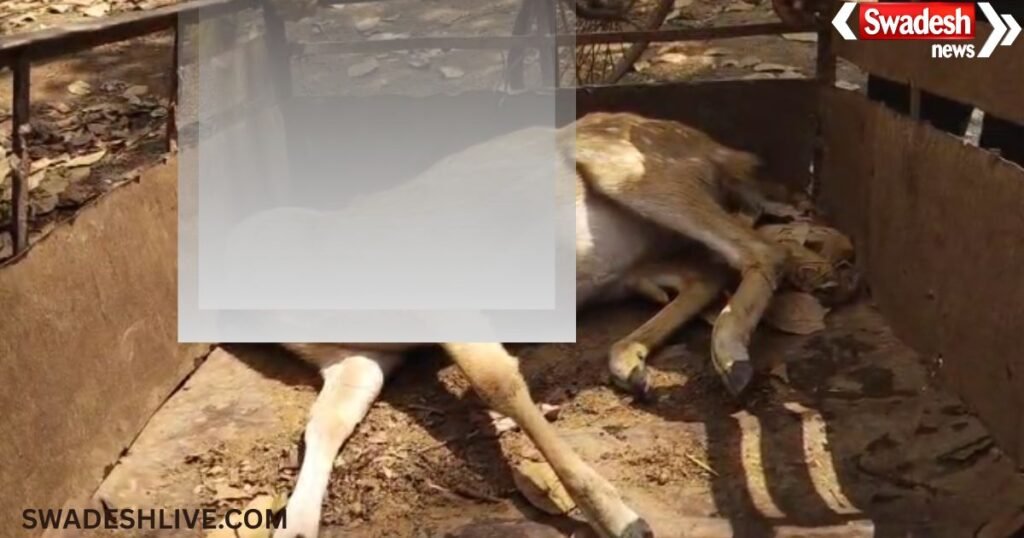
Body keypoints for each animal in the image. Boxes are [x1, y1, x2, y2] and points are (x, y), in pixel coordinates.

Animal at [250, 111, 790, 538]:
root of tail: (720, 151)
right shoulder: (357, 357)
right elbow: (324, 423)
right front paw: (296, 527)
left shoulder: (444, 291)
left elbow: (498, 383)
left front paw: (622, 518)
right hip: (631, 266)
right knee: (707, 271)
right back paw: (632, 362)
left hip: (640, 172)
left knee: (761, 248)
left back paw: (731, 356)